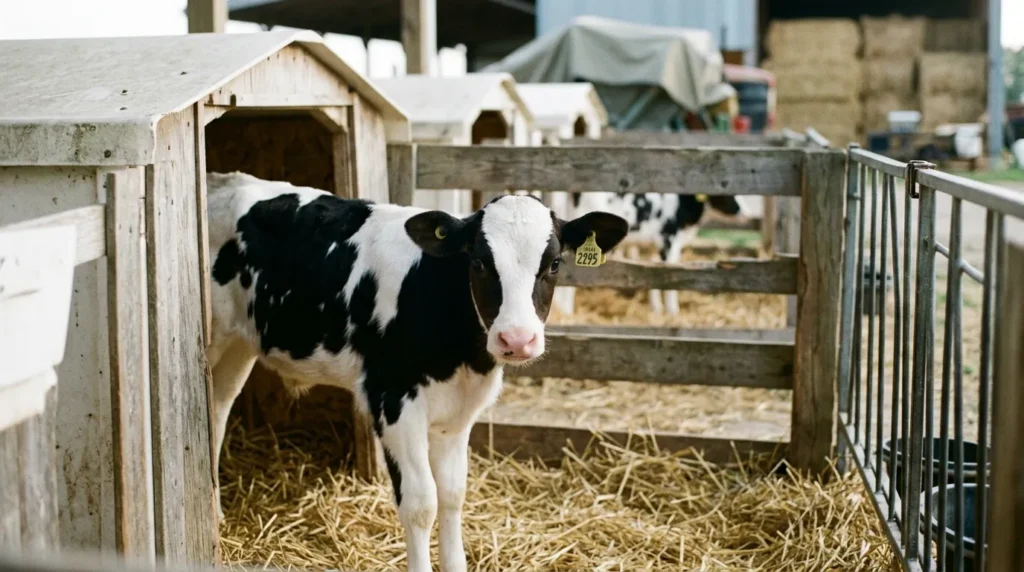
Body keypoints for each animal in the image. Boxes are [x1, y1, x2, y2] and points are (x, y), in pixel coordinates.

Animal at [204, 171, 628, 572]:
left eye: (554, 264)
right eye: (478, 262)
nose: (517, 339)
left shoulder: (458, 412)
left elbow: (453, 493)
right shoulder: (392, 400)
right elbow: (422, 502)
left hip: (240, 345)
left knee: (219, 410)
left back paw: (217, 514)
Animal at [550, 191, 751, 316]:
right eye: (728, 193)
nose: (745, 213)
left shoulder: (657, 248)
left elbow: (655, 276)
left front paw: (657, 309)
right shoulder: (669, 241)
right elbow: (670, 277)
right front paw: (672, 312)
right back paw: (567, 312)